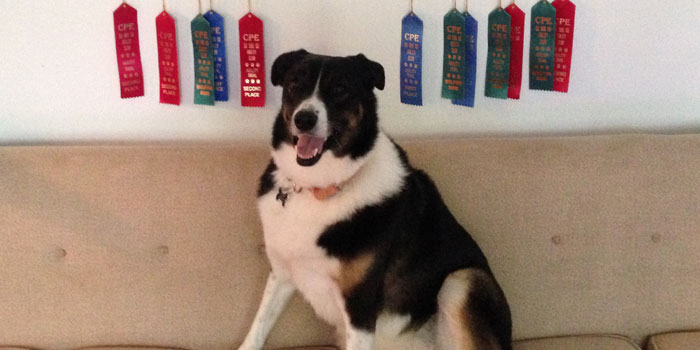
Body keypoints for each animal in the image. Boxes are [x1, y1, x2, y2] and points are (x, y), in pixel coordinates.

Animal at [238, 50, 512, 350]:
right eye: (294, 84)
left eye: (340, 89)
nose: (304, 119)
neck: (318, 186)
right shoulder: (282, 273)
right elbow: (258, 327)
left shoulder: (360, 305)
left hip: (463, 280)